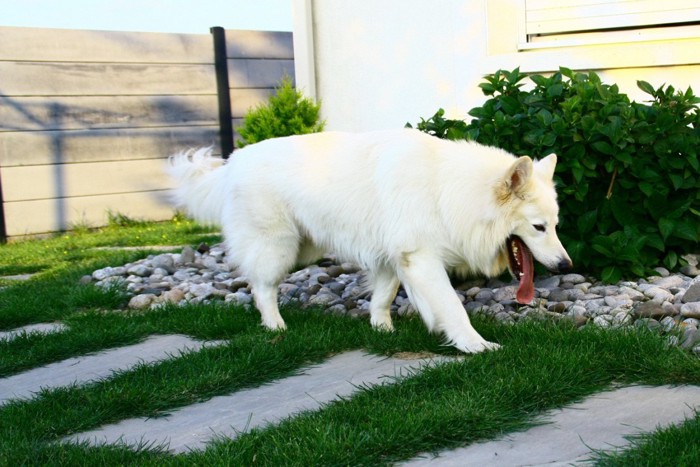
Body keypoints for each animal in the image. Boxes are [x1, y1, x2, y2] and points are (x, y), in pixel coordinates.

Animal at [167, 130, 572, 352]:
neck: (449, 190)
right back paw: (275, 327)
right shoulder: (421, 258)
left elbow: (383, 296)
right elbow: (452, 307)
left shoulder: (392, 256)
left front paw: (383, 330)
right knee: (262, 287)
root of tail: (232, 162)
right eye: (539, 227)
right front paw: (475, 345)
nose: (566, 265)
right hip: (279, 247)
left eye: (555, 225)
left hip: (304, 247)